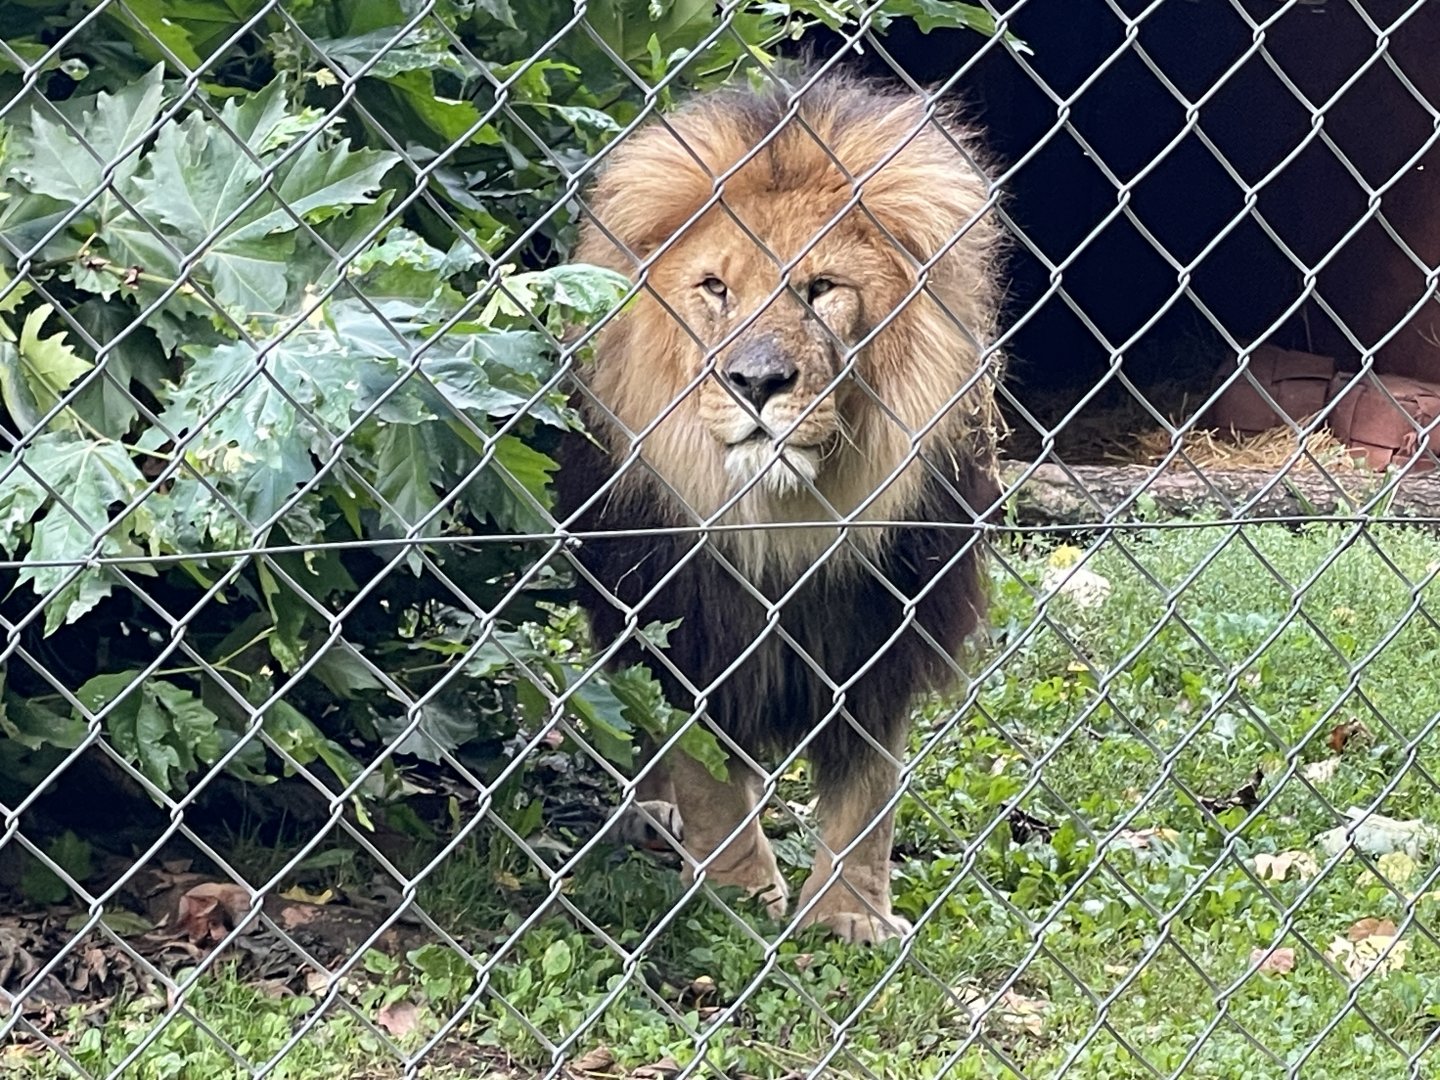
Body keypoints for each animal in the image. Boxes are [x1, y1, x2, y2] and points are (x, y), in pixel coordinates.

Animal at [554, 68, 1005, 944]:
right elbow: (704, 772)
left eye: (821, 289)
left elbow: (870, 790)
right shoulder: (684, 622)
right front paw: (735, 894)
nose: (758, 383)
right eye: (715, 288)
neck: (785, 517)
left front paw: (848, 914)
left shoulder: (883, 628)